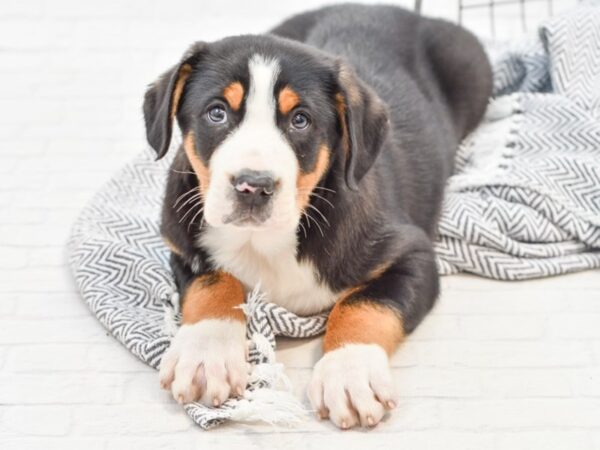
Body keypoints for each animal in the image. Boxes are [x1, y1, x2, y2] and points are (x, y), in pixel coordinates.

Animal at [145, 5, 492, 430]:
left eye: (300, 120)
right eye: (216, 113)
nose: (253, 186)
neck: (268, 240)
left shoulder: (413, 254)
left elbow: (364, 304)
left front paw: (350, 372)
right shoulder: (181, 244)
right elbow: (212, 283)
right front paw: (205, 351)